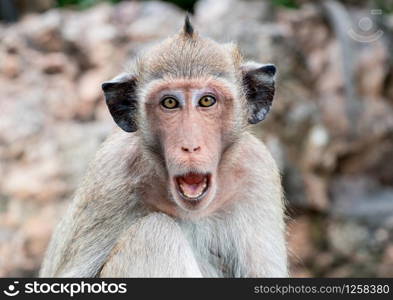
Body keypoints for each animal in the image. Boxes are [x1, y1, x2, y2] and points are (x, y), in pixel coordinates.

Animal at [39, 16, 286, 278]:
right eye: (169, 103)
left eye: (207, 100)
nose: (190, 146)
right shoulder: (110, 174)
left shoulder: (257, 172)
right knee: (155, 231)